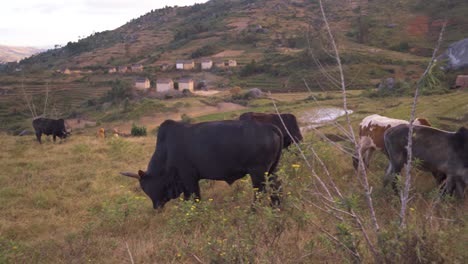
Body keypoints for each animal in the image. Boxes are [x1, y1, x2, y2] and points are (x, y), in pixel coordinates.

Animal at [119, 119, 282, 208]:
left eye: (146, 187)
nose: (156, 207)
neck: (166, 151)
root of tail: (269, 127)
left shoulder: (189, 178)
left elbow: (195, 198)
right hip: (272, 170)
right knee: (276, 187)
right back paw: (276, 209)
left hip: (258, 172)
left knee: (260, 193)